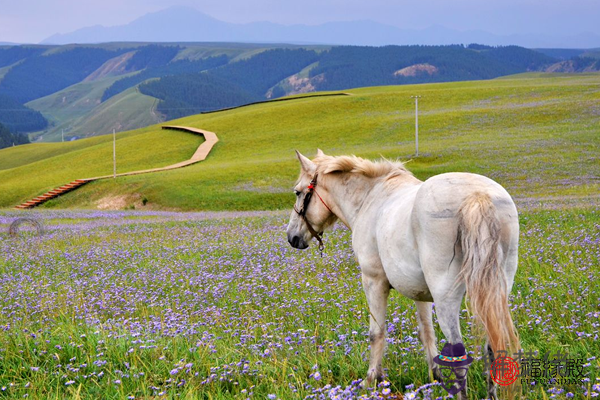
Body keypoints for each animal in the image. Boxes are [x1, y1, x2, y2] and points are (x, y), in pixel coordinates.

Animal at [288, 151, 520, 400]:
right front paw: (435, 377)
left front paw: (371, 381)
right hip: (493, 294)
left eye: (298, 192)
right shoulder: (421, 293)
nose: (292, 237)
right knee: (492, 348)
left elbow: (376, 333)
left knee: (459, 356)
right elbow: (426, 332)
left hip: (447, 298)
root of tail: (477, 196)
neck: (370, 198)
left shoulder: (373, 281)